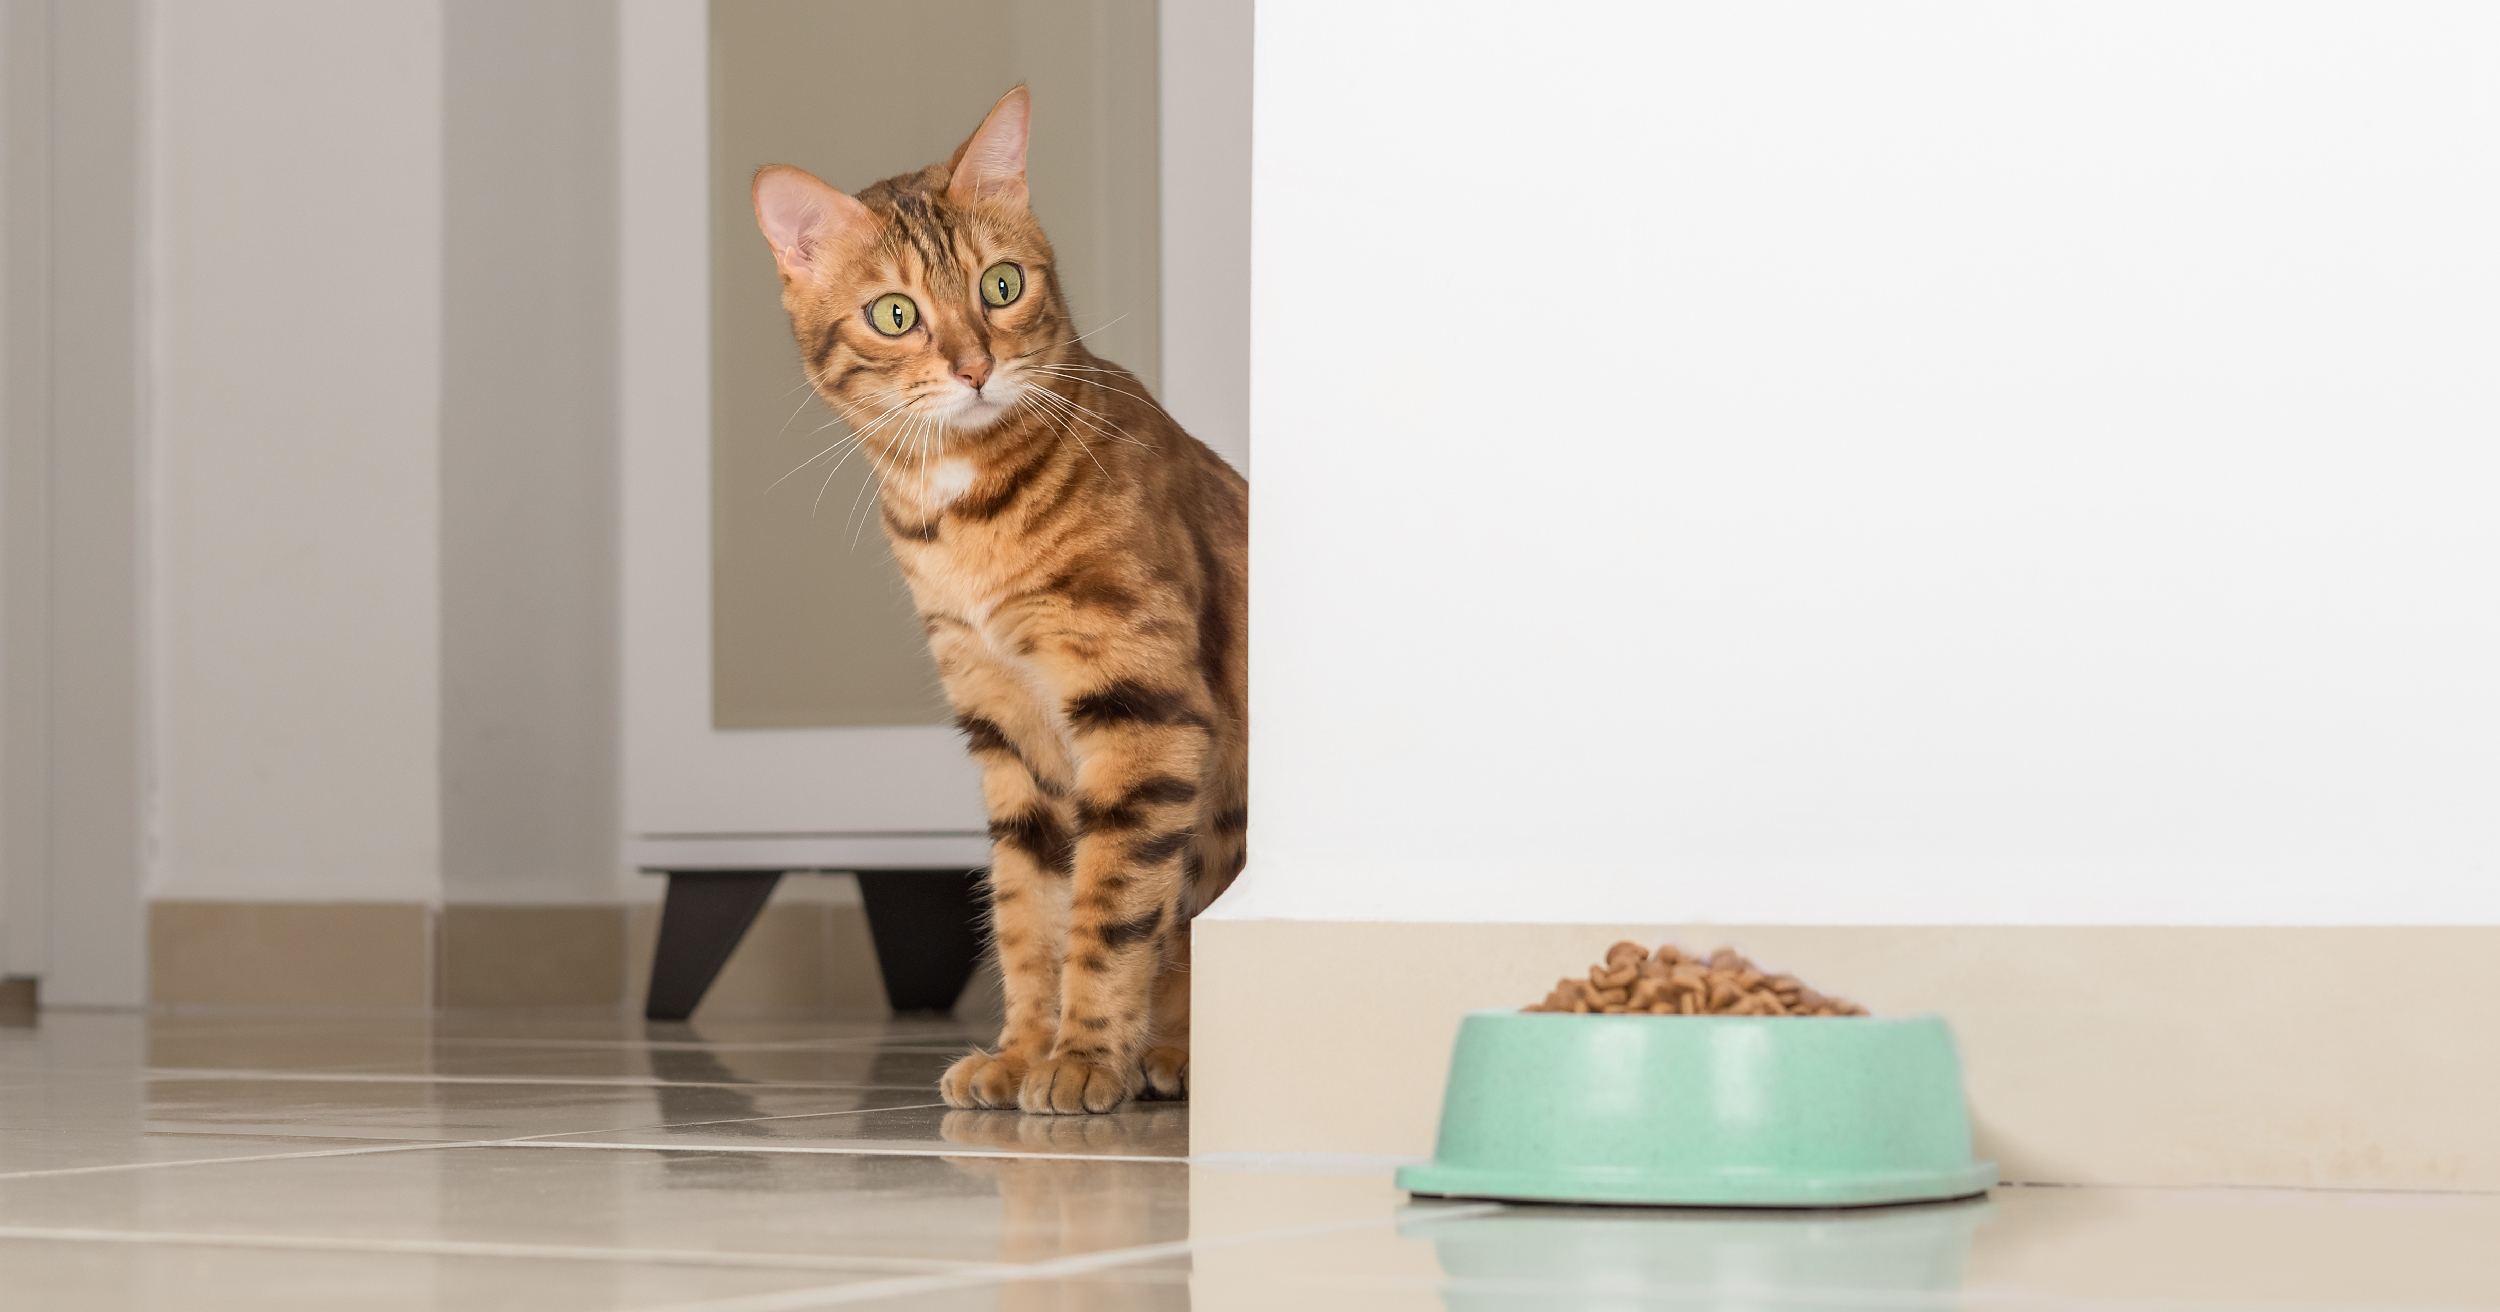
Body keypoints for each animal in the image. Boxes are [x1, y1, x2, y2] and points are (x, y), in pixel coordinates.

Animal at [751, 87, 1247, 1114]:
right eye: (895, 312)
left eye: (1003, 286)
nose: (975, 366)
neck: (969, 520)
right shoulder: (1007, 731)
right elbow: (1029, 911)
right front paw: (1023, 1054)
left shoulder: (1143, 712)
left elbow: (1109, 908)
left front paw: (1087, 1059)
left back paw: (1171, 1056)